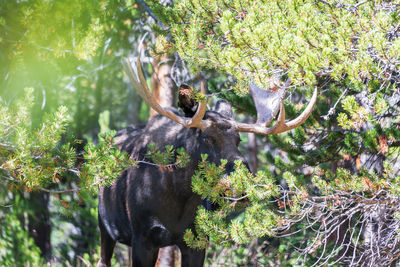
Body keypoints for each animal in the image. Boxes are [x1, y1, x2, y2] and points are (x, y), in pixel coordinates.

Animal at [96, 58, 316, 267]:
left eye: (238, 140)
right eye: (207, 138)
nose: (240, 183)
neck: (179, 196)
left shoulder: (196, 240)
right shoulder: (143, 237)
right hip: (105, 226)